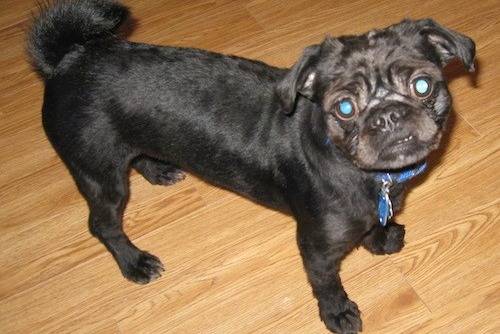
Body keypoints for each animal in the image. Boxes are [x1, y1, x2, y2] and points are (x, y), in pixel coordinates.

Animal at [26, 1, 472, 332]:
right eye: (344, 108)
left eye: (422, 85)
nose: (388, 116)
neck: (371, 176)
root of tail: (68, 59)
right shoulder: (316, 247)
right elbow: (327, 284)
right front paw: (338, 314)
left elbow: (375, 224)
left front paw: (380, 240)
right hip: (101, 175)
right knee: (103, 224)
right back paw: (134, 263)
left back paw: (160, 170)